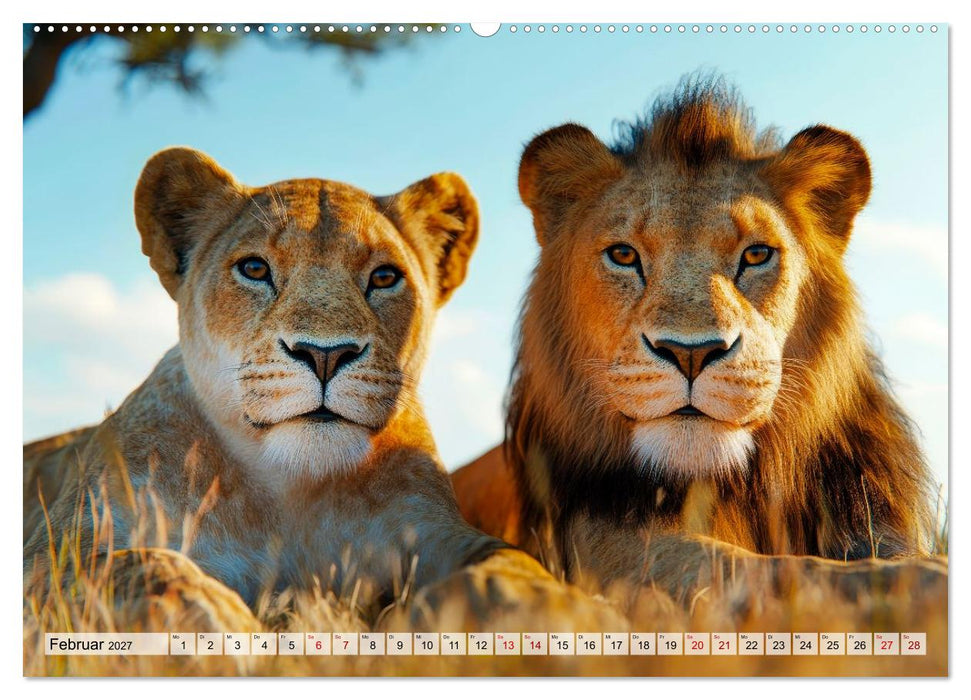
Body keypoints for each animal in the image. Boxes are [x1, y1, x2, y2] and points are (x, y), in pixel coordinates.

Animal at [23, 147, 616, 632]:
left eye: (384, 277)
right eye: (254, 268)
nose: (325, 354)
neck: (291, 492)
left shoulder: (435, 532)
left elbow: (508, 561)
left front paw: (560, 609)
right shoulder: (59, 549)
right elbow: (137, 565)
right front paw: (223, 627)